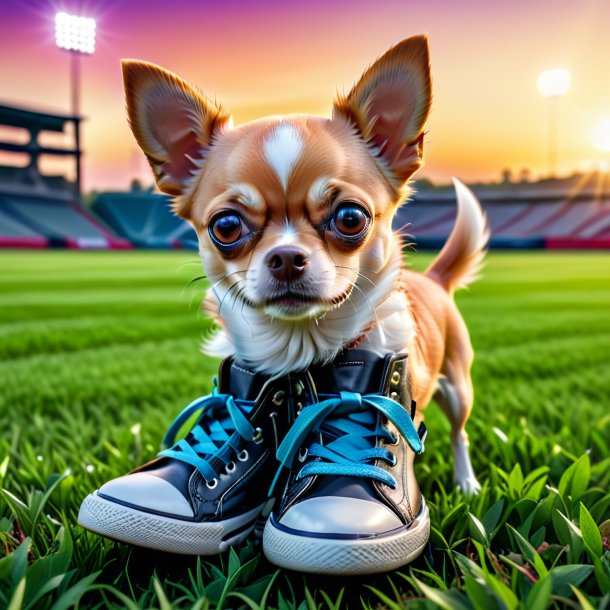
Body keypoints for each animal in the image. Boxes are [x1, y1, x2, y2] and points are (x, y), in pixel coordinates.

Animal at [121, 33, 486, 492]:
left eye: (350, 218)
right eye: (226, 226)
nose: (286, 257)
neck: (299, 351)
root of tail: (435, 279)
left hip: (458, 387)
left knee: (460, 433)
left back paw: (466, 481)